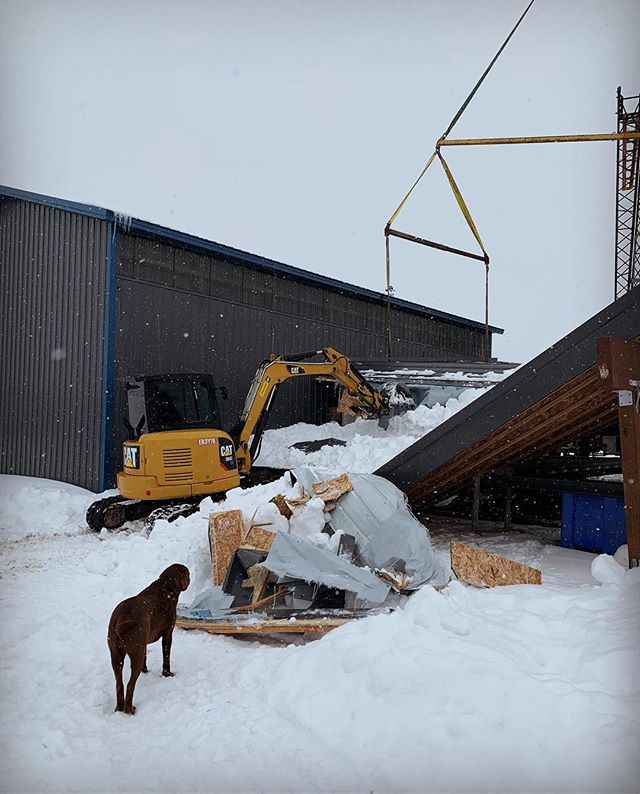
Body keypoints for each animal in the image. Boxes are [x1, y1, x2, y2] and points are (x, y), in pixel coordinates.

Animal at [107, 560, 190, 716]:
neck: (166, 585)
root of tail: (121, 619)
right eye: (188, 573)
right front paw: (167, 674)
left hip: (115, 655)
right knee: (130, 685)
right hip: (135, 654)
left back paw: (119, 708)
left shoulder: (144, 643)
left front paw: (146, 671)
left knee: (119, 684)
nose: (190, 578)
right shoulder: (167, 634)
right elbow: (166, 658)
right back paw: (129, 709)